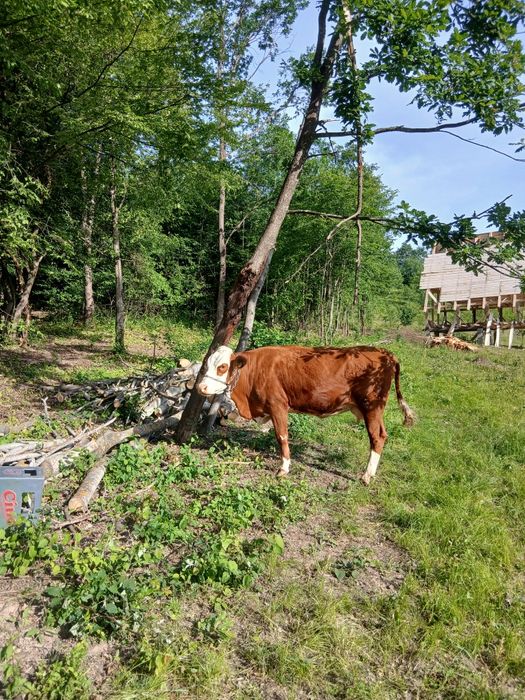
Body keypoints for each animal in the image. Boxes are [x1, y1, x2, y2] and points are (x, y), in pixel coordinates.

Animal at [197, 345, 414, 485]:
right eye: (206, 365)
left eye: (222, 367)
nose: (201, 387)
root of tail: (385, 353)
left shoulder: (278, 405)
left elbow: (282, 436)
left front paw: (284, 468)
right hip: (374, 409)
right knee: (383, 434)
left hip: (372, 405)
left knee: (376, 437)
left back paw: (367, 476)